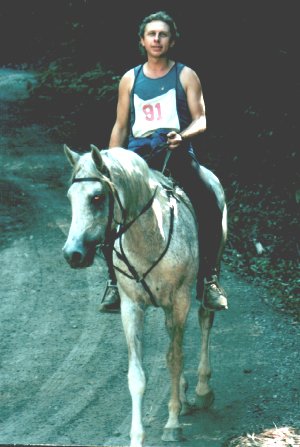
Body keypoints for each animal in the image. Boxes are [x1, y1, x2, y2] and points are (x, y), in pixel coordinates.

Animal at [63, 145, 227, 446]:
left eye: (97, 197)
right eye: (70, 197)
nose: (72, 254)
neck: (151, 235)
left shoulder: (180, 300)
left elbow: (175, 360)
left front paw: (172, 424)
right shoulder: (132, 307)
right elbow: (137, 375)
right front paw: (137, 436)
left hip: (210, 270)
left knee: (205, 319)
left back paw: (201, 389)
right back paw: (185, 396)